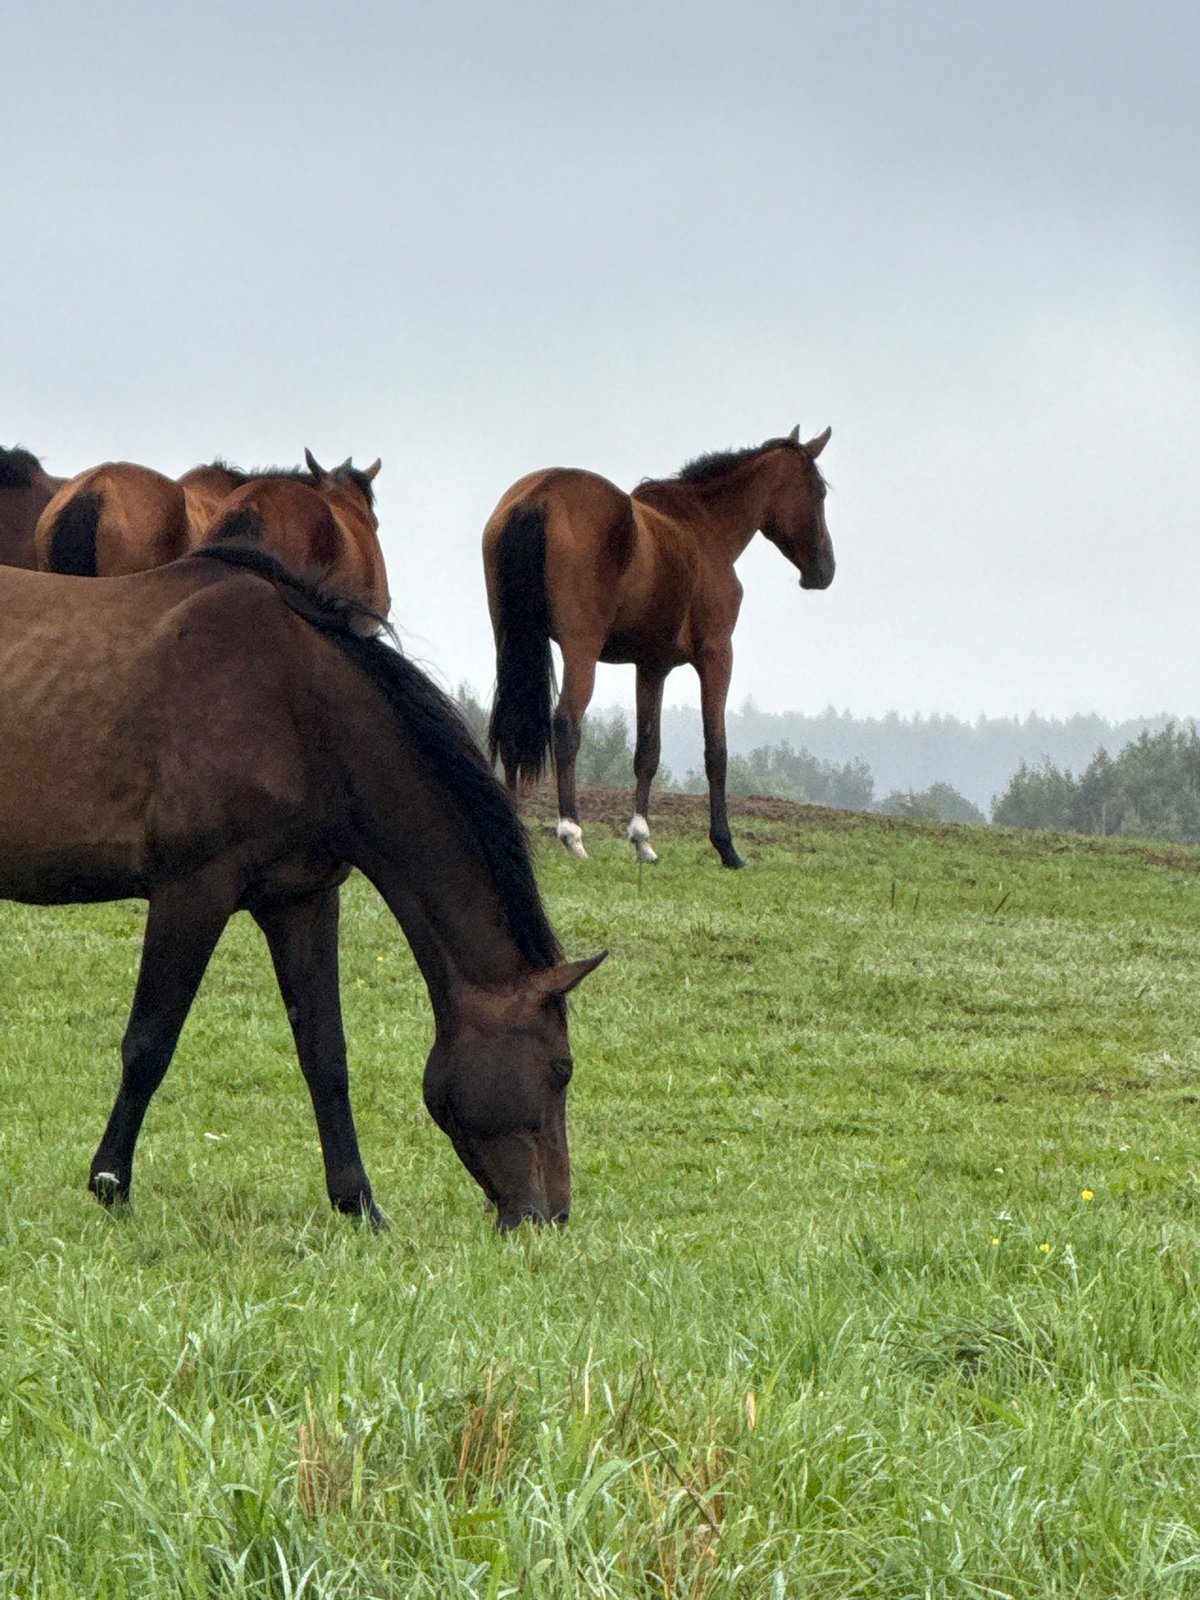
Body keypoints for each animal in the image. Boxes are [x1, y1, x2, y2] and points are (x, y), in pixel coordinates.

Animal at [0, 546, 604, 1228]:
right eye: (562, 1067)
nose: (550, 1216)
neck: (301, 712)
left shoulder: (302, 900)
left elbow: (325, 1052)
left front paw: (358, 1202)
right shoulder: (193, 890)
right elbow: (149, 1043)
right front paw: (111, 1184)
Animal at [484, 426, 835, 868]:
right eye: (819, 492)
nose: (825, 570)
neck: (704, 528)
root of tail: (539, 495)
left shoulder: (652, 666)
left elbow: (647, 751)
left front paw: (642, 840)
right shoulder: (717, 656)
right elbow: (716, 750)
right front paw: (726, 846)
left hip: (510, 643)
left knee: (510, 719)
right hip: (580, 651)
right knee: (565, 723)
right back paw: (572, 833)